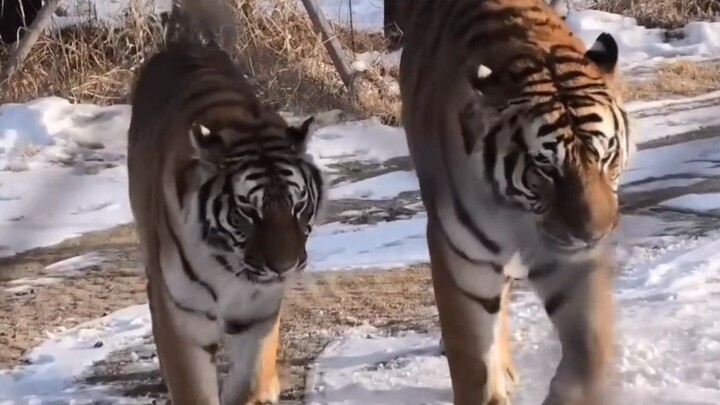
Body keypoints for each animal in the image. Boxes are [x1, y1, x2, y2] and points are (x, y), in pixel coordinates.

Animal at [126, 1, 325, 404]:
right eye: (248, 212)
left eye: (298, 206)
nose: (285, 267)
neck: (228, 267)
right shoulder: (183, 319)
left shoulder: (258, 313)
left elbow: (249, 380)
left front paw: (260, 389)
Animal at [398, 0, 633, 404]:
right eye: (546, 166)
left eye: (606, 156)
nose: (595, 235)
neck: (518, 212)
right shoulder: (465, 261)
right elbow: (474, 360)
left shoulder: (571, 262)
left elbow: (590, 346)